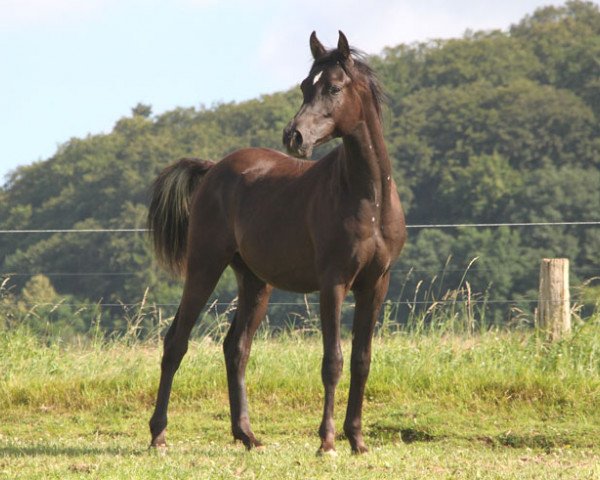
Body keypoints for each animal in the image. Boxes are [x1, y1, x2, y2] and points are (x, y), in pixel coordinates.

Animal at [148, 31, 406, 454]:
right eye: (305, 85)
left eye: (333, 87)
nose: (294, 136)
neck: (368, 199)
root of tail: (212, 169)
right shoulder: (333, 284)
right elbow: (333, 361)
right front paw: (327, 442)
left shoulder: (375, 285)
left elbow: (361, 360)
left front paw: (356, 439)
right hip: (204, 267)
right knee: (176, 343)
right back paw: (159, 434)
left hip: (255, 282)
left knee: (236, 348)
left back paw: (246, 434)